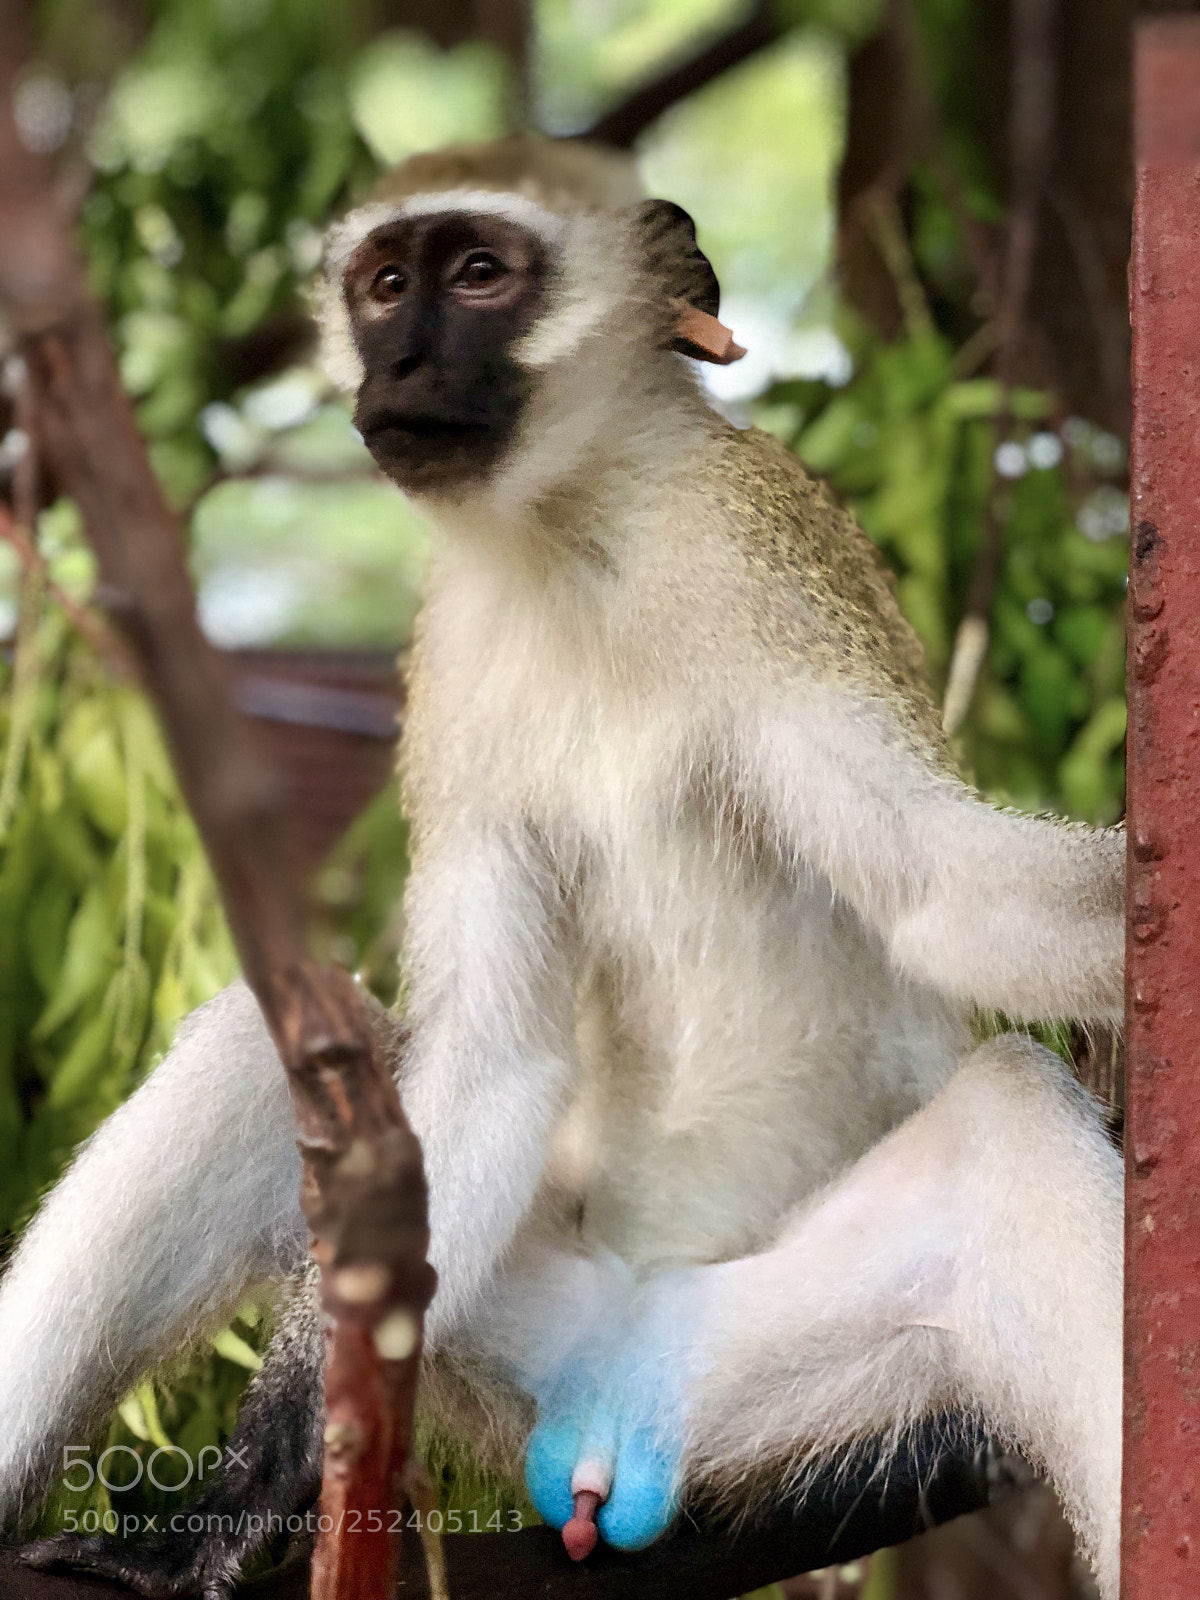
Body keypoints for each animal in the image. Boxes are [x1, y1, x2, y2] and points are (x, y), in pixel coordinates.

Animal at [0, 134, 1125, 1598]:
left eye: (481, 274)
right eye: (384, 285)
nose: (402, 365)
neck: (573, 530)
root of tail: (612, 1400)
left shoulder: (756, 556)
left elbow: (942, 893)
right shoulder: (454, 663)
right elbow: (492, 1061)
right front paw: (246, 1495)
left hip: (800, 1378)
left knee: (1013, 1119)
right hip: (503, 1334)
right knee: (271, 1060)